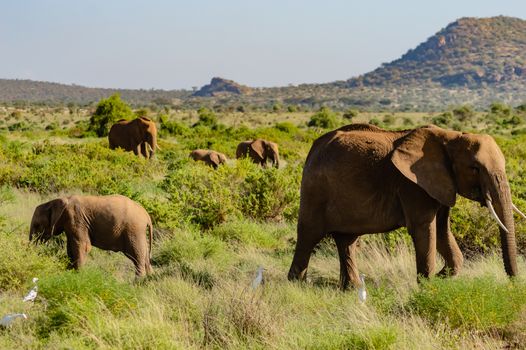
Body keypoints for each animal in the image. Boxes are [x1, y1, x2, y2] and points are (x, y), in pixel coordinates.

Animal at [288, 123, 524, 290]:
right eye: (475, 168)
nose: (514, 284)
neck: (450, 138)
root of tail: (314, 146)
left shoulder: (441, 184)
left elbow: (442, 231)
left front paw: (439, 278)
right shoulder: (412, 185)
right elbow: (424, 230)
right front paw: (428, 287)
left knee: (346, 240)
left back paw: (351, 289)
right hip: (315, 190)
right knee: (309, 234)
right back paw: (296, 284)